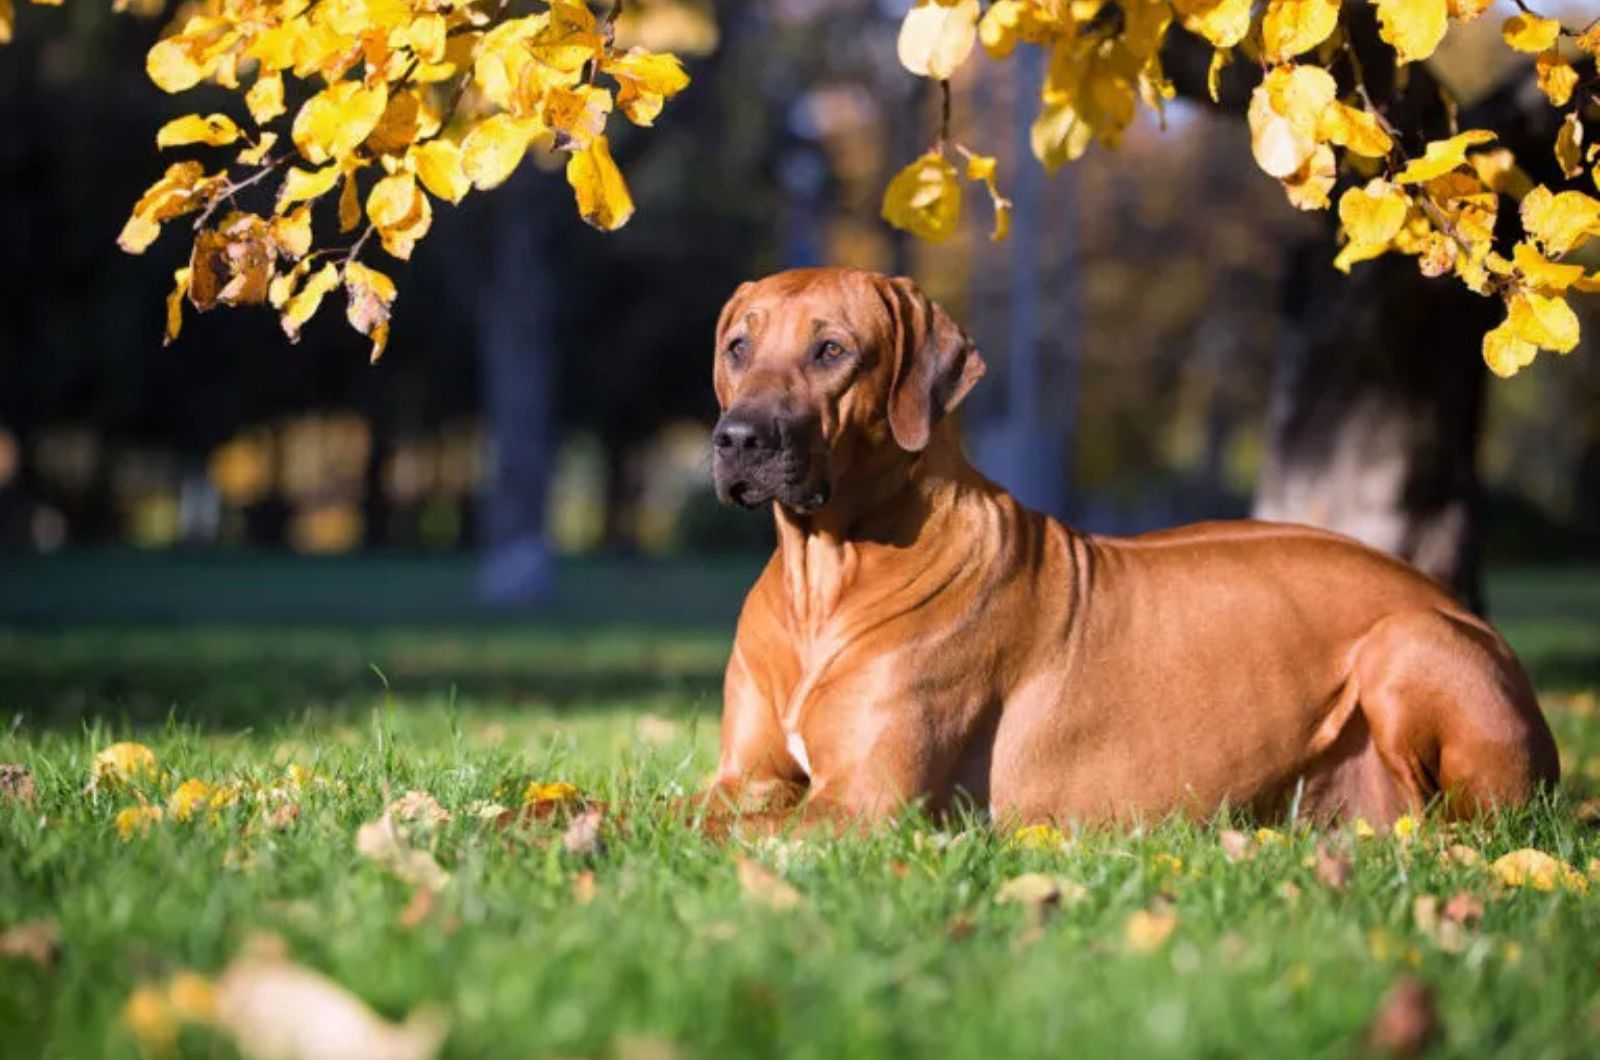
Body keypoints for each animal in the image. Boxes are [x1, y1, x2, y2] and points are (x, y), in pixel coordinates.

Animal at [700, 265, 1548, 832]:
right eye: (739, 346)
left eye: (832, 351)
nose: (736, 439)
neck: (823, 579)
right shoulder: (746, 774)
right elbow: (685, 809)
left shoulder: (864, 805)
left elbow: (728, 834)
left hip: (1410, 644)